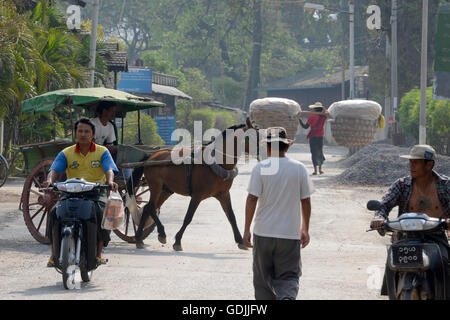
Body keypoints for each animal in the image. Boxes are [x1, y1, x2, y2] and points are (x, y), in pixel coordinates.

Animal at [126, 119, 260, 251]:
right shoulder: (197, 195)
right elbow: (188, 217)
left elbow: (231, 216)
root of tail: (151, 156)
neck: (217, 162)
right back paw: (160, 233)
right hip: (156, 186)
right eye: (252, 137)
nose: (262, 151)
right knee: (151, 207)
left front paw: (240, 241)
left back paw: (139, 239)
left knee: (148, 208)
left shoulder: (224, 194)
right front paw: (178, 241)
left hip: (166, 190)